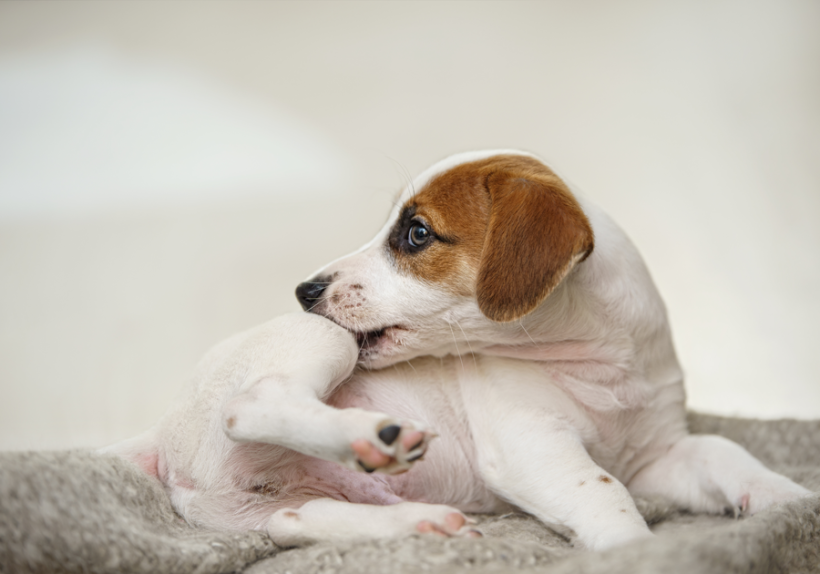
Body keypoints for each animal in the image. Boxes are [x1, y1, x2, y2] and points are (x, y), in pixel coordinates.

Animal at [112, 151, 812, 552]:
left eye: (417, 234)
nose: (304, 291)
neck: (598, 364)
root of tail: (160, 436)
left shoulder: (657, 456)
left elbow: (724, 452)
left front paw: (791, 501)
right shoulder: (533, 446)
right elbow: (602, 490)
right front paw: (636, 551)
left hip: (269, 508)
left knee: (294, 523)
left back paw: (419, 524)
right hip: (319, 343)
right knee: (252, 404)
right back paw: (372, 436)